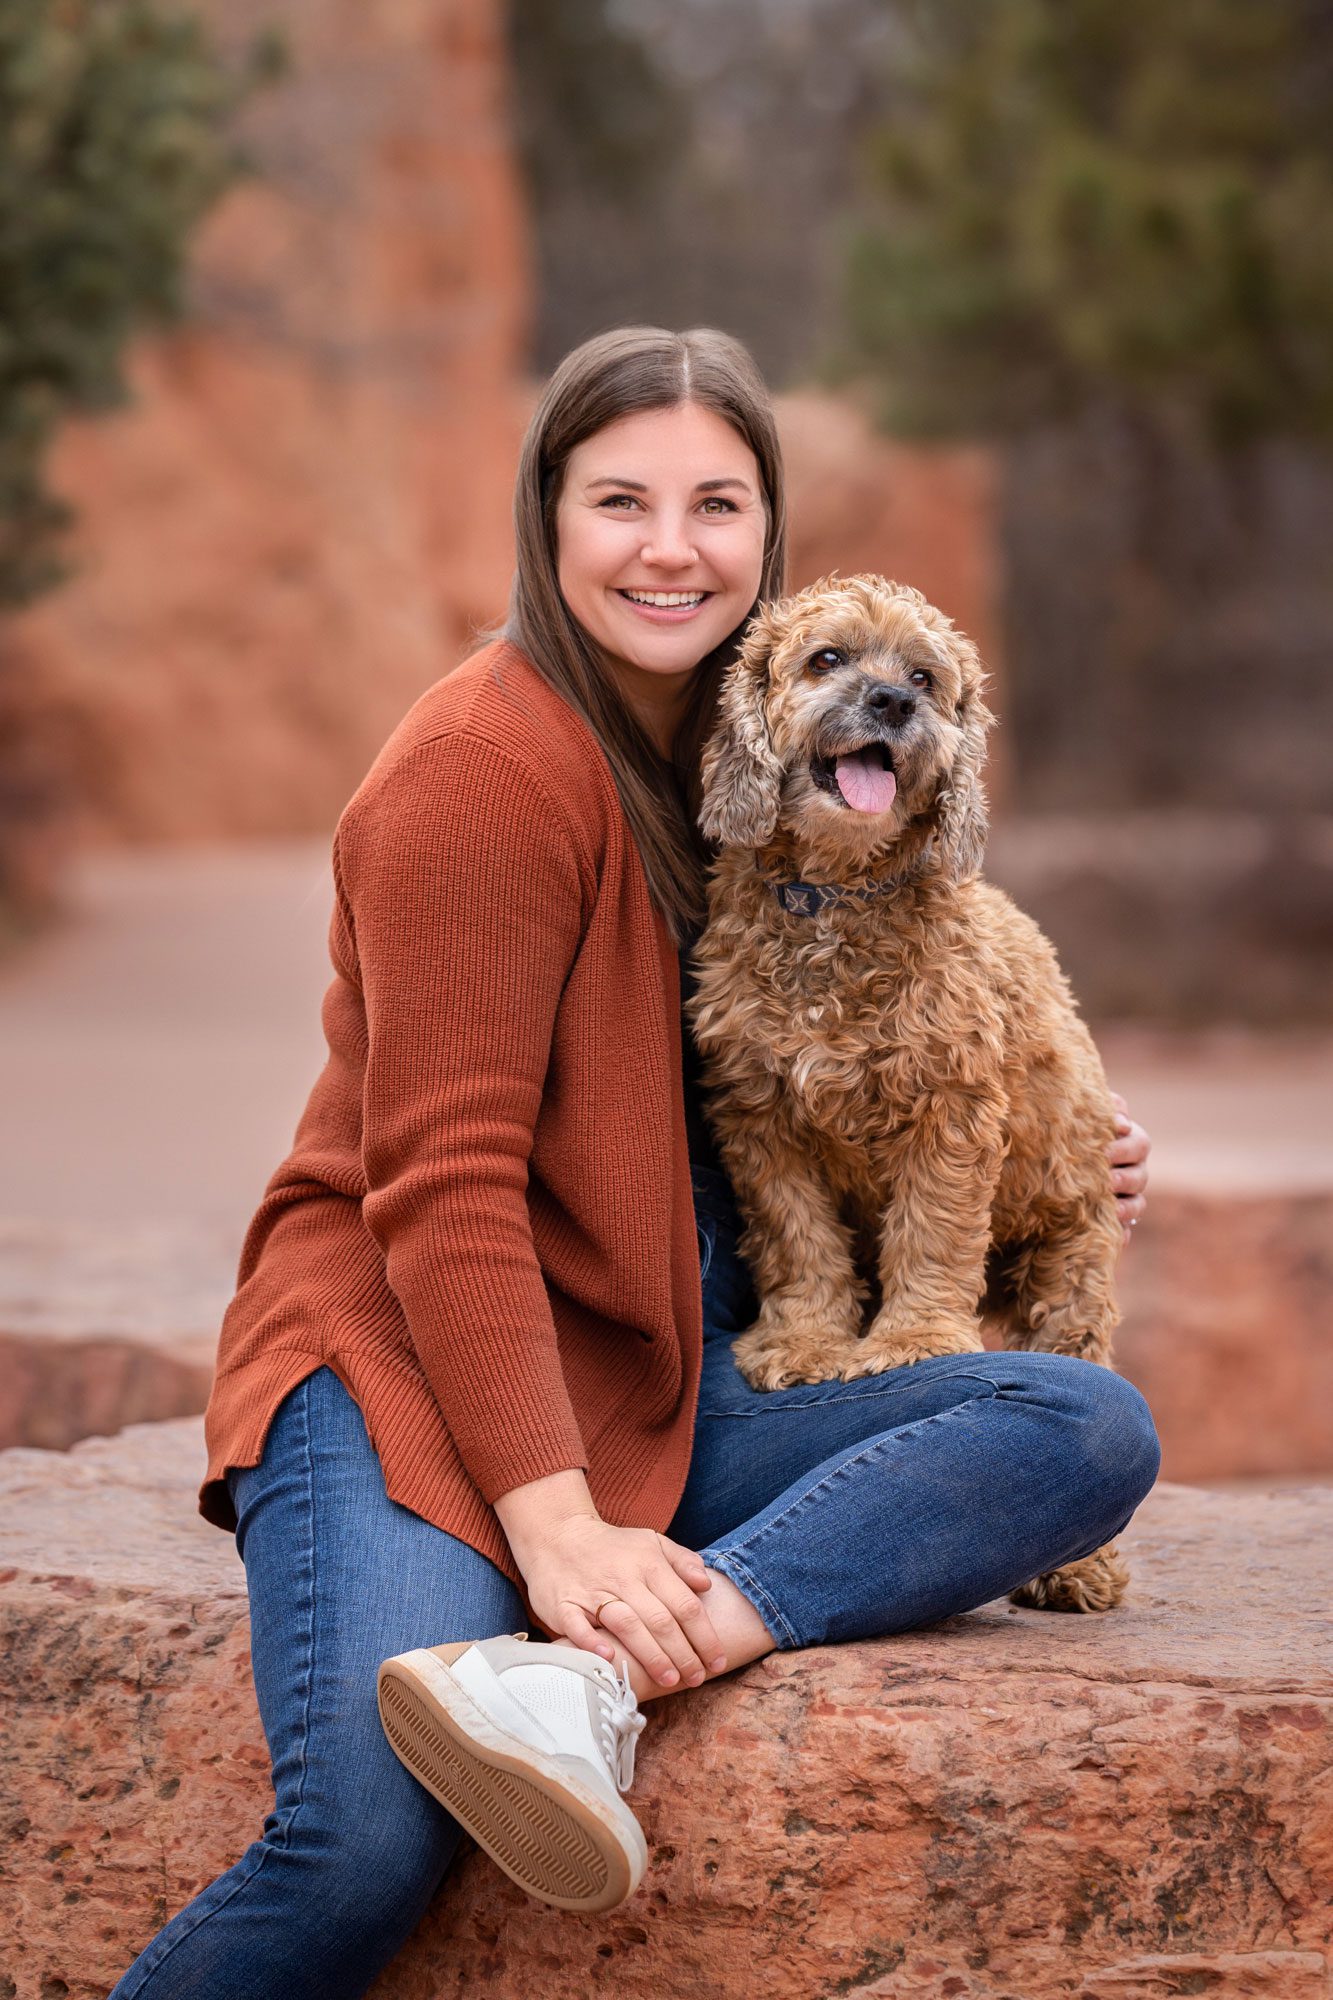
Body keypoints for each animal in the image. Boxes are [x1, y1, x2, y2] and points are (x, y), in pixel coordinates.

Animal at [684, 572, 1128, 1616]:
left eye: (925, 677)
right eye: (827, 660)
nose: (891, 702)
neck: (834, 898)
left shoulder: (951, 1114)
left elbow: (932, 1232)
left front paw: (915, 1339)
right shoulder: (760, 1119)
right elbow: (798, 1240)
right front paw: (808, 1345)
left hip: (1072, 1264)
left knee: (1079, 1359)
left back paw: (1078, 1568)